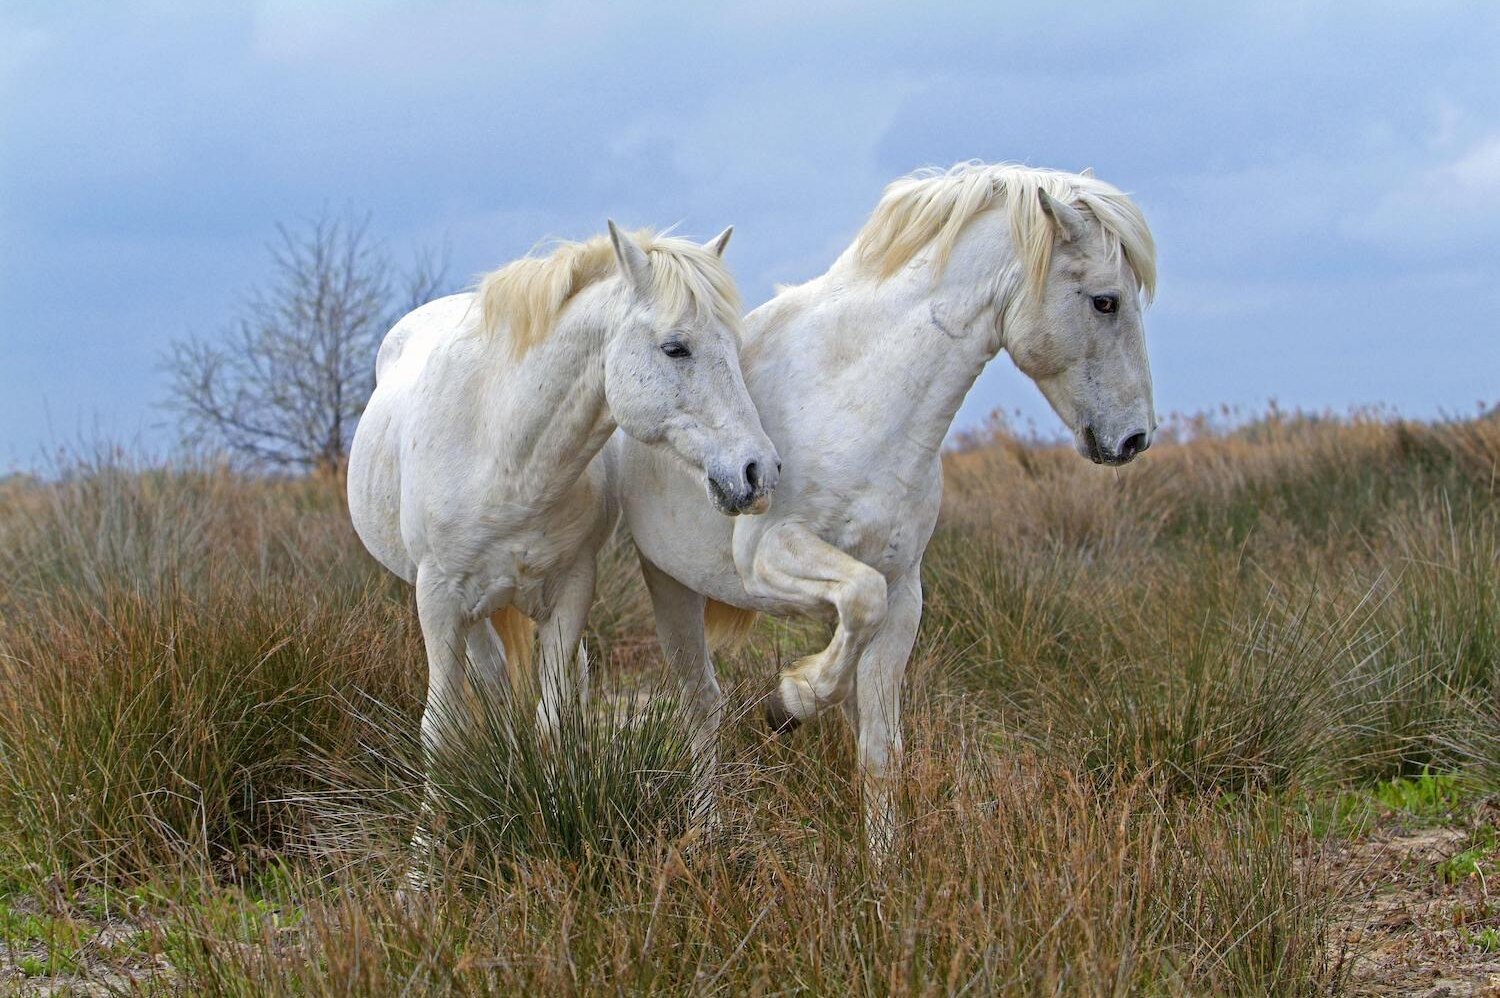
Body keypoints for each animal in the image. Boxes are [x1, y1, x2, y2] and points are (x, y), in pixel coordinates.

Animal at [346, 223, 780, 780]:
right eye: (675, 348)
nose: (757, 472)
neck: (503, 455)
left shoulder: (572, 591)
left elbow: (553, 720)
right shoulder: (438, 599)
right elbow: (440, 731)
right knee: (490, 679)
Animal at [609, 161, 1158, 846]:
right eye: (1106, 301)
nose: (1135, 438)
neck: (858, 397)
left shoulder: (902, 594)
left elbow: (877, 744)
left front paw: (885, 862)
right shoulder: (769, 555)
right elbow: (854, 611)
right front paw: (788, 702)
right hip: (671, 588)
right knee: (701, 705)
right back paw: (708, 830)